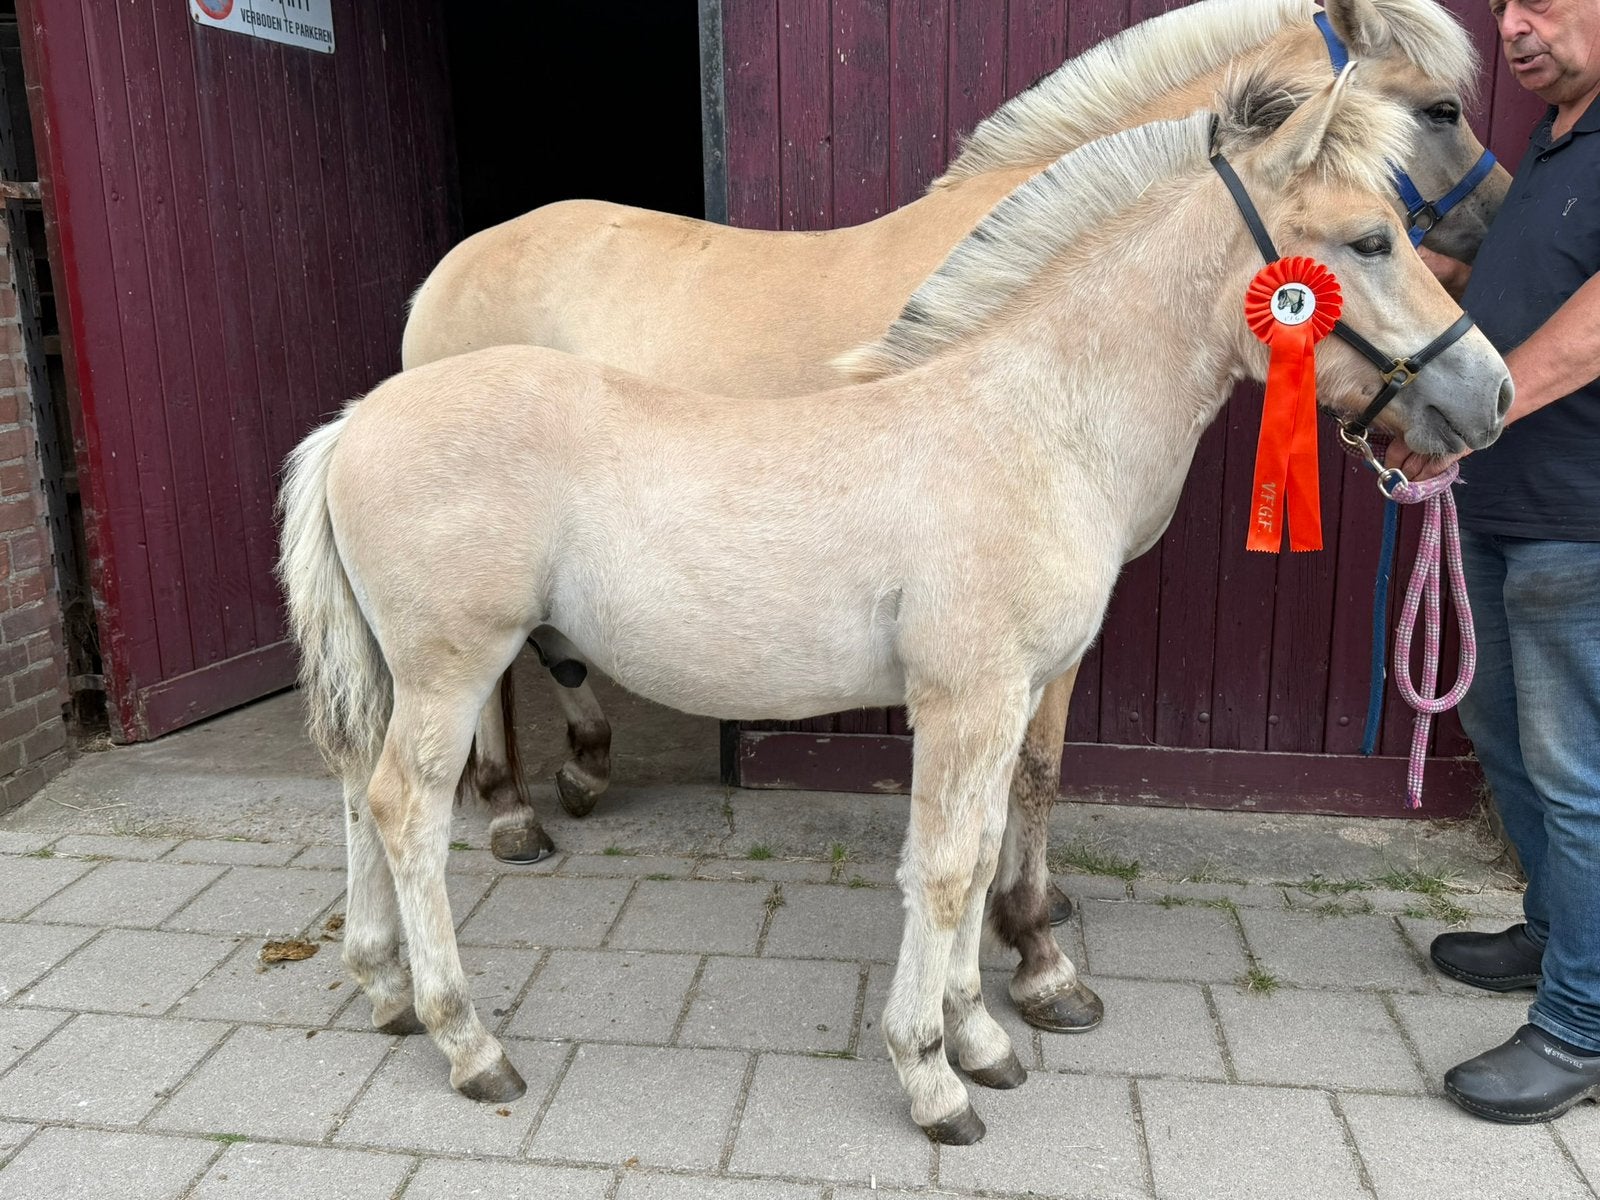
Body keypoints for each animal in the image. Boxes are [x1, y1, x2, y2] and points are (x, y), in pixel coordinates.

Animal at [279, 66, 1511, 1142]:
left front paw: (984, 1037)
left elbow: (985, 850)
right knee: (404, 810)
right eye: (1369, 240)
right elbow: (949, 868)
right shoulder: (968, 699)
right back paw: (469, 1041)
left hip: (395, 672)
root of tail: (356, 420)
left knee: (356, 792)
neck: (1036, 421)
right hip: (450, 669)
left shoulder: (1009, 700)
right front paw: (935, 1079)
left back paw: (384, 991)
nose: (1489, 394)